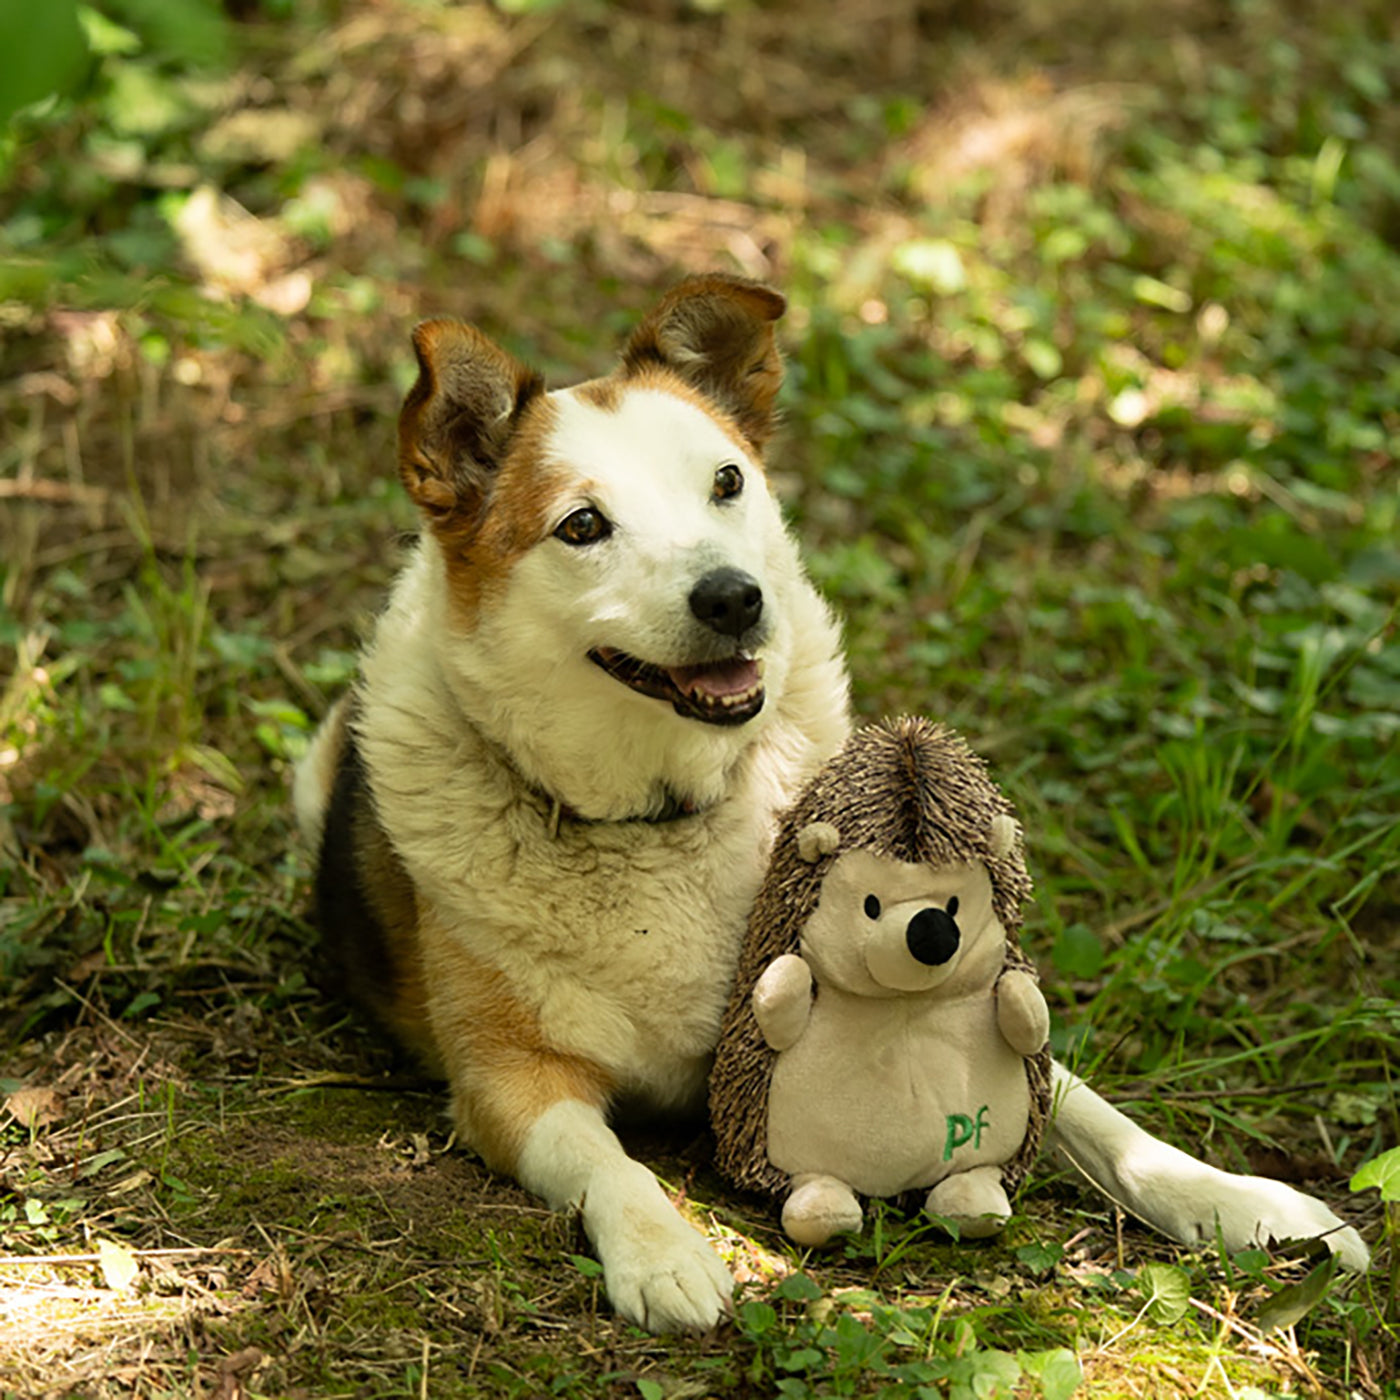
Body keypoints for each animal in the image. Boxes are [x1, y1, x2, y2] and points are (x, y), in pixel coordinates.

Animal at [295, 273, 1366, 1332]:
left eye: (727, 482)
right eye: (583, 526)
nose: (734, 598)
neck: (665, 813)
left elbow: (1094, 1112)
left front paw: (1239, 1202)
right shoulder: (506, 1080)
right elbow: (609, 1162)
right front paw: (663, 1253)